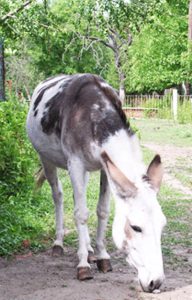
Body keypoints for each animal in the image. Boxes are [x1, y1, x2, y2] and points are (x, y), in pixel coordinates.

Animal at [26, 74, 166, 292]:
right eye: (136, 227)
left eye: (162, 225)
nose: (156, 283)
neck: (95, 112)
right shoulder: (75, 163)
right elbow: (81, 214)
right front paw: (83, 265)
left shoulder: (105, 167)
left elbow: (102, 211)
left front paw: (101, 256)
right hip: (46, 158)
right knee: (58, 195)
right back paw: (59, 243)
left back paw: (90, 248)